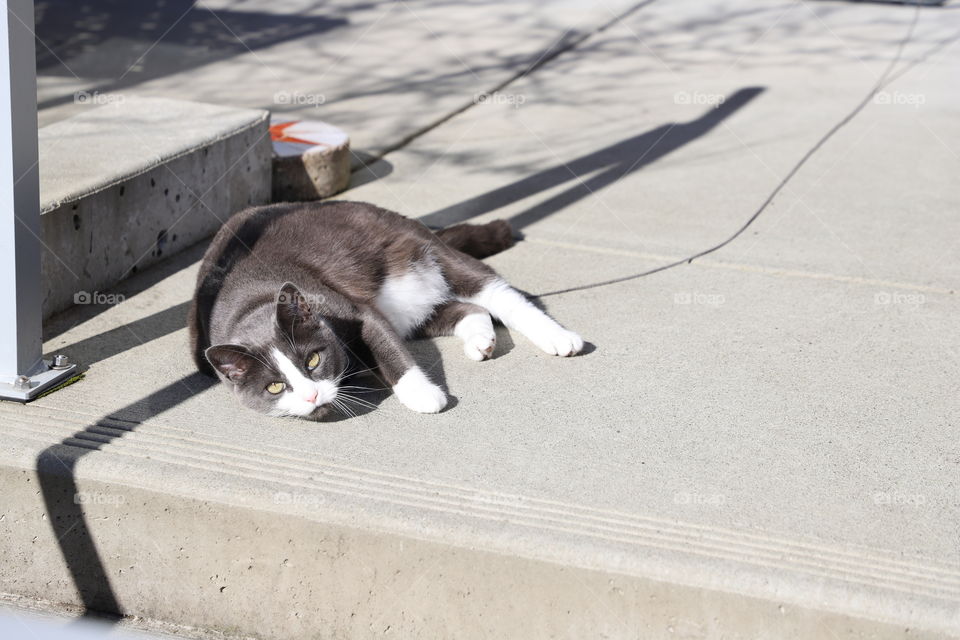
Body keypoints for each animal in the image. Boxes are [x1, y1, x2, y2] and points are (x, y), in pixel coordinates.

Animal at [185, 201, 580, 420]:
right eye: (275, 387)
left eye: (312, 360)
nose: (311, 395)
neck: (249, 303)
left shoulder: (350, 310)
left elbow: (386, 346)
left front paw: (424, 396)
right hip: (408, 308)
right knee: (462, 308)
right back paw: (480, 341)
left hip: (423, 249)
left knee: (498, 294)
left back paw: (559, 338)